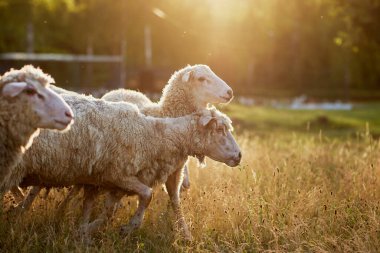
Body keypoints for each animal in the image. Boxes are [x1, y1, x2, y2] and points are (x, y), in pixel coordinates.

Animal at [6, 90, 240, 240]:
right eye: (220, 130)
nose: (239, 156)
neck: (152, 135)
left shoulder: (110, 183)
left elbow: (106, 211)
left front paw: (84, 232)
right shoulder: (118, 174)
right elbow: (147, 195)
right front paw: (127, 229)